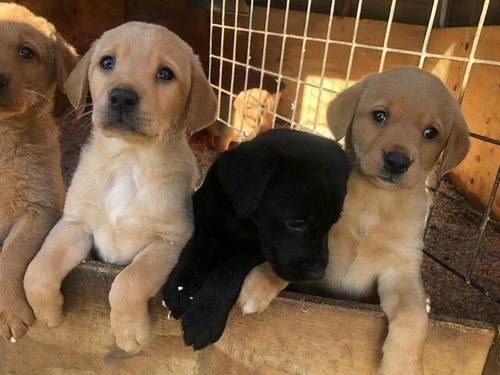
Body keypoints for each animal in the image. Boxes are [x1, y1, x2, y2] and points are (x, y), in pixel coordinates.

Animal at [23, 22, 217, 354]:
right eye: (107, 62)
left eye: (165, 73)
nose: (122, 97)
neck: (128, 160)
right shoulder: (75, 224)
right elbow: (37, 270)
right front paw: (49, 315)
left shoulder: (170, 241)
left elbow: (128, 281)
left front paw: (129, 333)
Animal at [162, 129, 350, 350]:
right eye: (296, 223)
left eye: (332, 223)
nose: (317, 274)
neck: (242, 222)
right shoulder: (204, 218)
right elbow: (196, 248)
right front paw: (181, 288)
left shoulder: (257, 250)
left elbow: (228, 271)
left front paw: (205, 317)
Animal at [237, 68, 468, 375]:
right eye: (379, 115)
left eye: (431, 132)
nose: (397, 161)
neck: (376, 201)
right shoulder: (323, 240)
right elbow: (296, 255)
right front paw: (261, 283)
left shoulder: (400, 271)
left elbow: (413, 318)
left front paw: (403, 365)